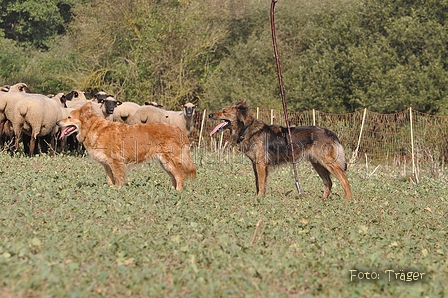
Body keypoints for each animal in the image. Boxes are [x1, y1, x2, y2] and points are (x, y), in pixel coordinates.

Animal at [56, 102, 196, 191]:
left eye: (69, 117)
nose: (57, 122)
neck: (93, 128)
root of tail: (178, 130)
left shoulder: (116, 162)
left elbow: (119, 179)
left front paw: (118, 191)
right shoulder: (107, 165)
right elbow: (110, 180)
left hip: (170, 161)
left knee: (179, 175)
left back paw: (178, 191)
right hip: (165, 163)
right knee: (174, 177)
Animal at [208, 99, 352, 199]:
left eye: (224, 111)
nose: (209, 115)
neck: (246, 128)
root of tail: (329, 132)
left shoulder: (260, 164)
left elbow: (261, 183)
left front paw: (259, 198)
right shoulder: (256, 164)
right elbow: (259, 183)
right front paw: (259, 197)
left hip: (327, 163)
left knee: (344, 180)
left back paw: (347, 200)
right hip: (318, 164)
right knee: (328, 182)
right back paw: (323, 200)